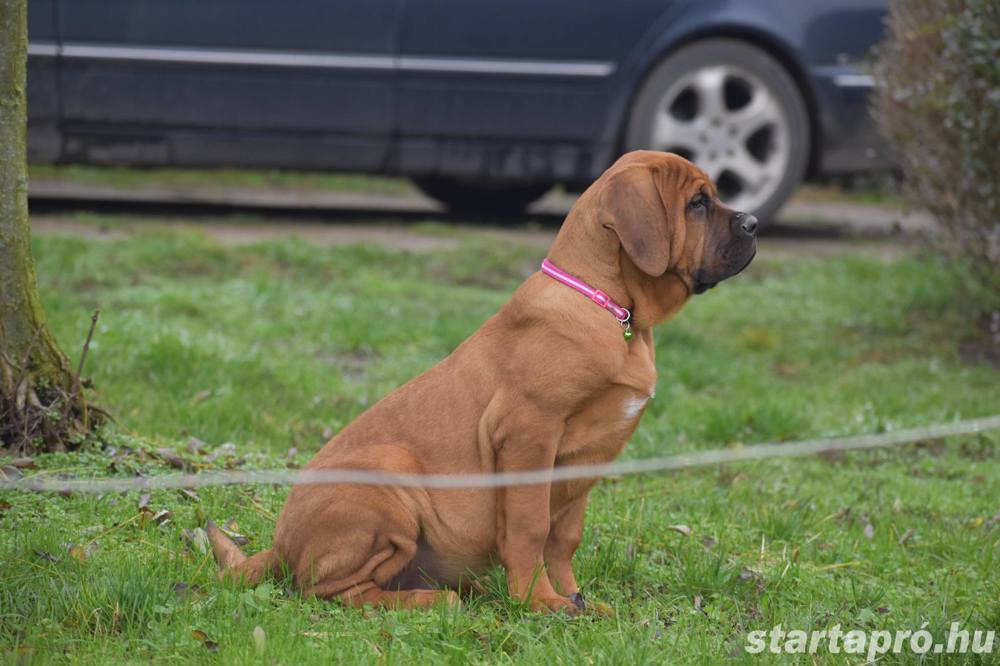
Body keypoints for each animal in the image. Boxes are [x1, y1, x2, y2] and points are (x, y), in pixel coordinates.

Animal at [209, 150, 756, 612]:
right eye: (697, 204)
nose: (753, 224)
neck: (610, 308)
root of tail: (278, 547)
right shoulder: (529, 435)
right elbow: (531, 528)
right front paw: (540, 602)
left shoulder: (583, 461)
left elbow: (564, 537)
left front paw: (576, 599)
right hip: (390, 477)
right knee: (332, 591)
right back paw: (433, 600)